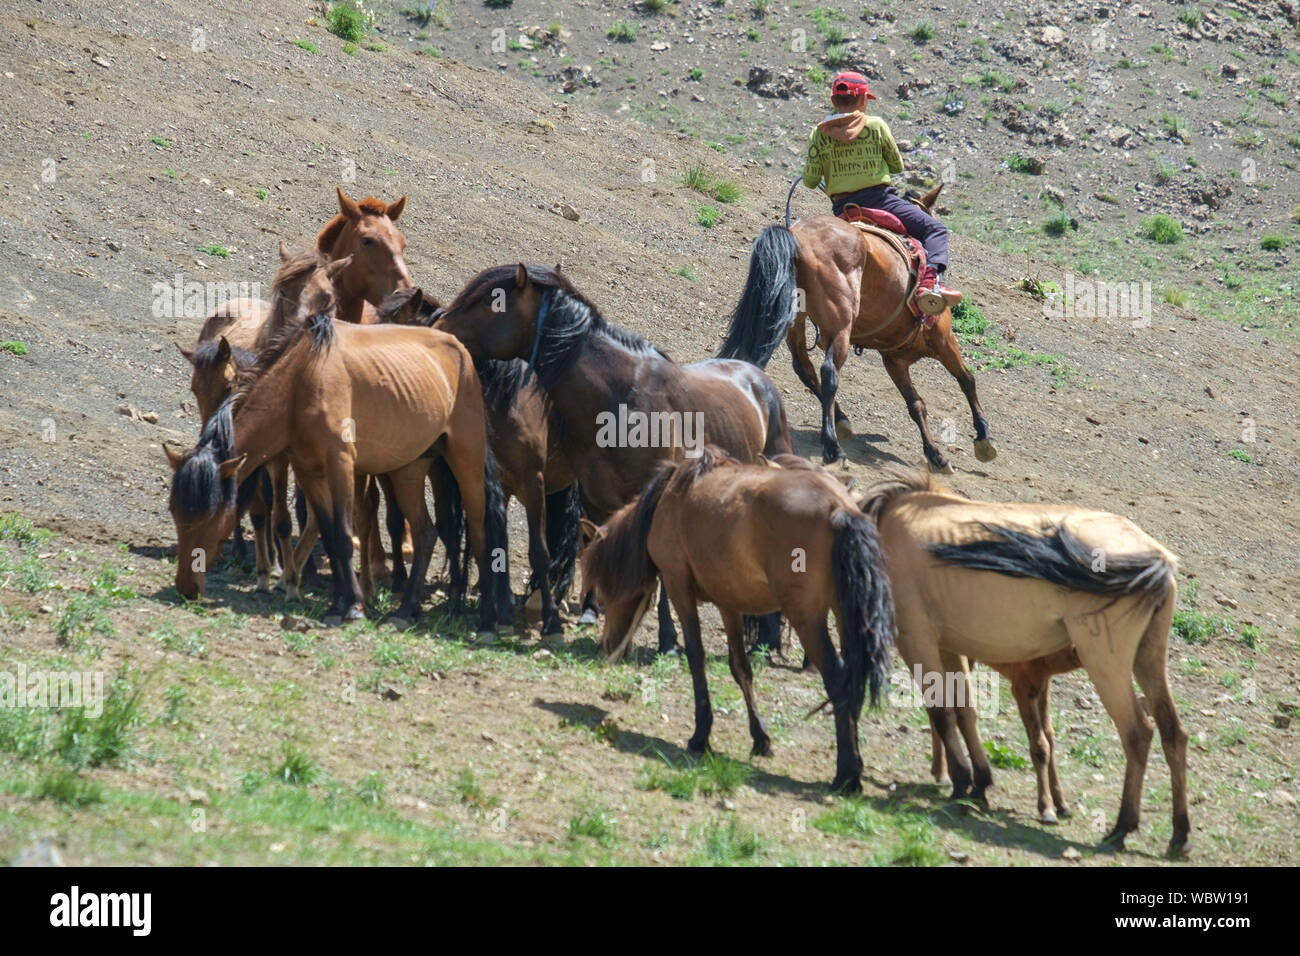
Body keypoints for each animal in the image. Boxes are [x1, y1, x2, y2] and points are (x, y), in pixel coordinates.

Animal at [164, 265, 510, 631]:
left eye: (212, 514)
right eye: (175, 511)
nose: (186, 587)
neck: (301, 381)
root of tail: (461, 351)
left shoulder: (341, 464)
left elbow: (344, 534)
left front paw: (353, 606)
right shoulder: (308, 471)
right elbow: (329, 534)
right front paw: (337, 602)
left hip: (466, 462)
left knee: (479, 532)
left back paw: (487, 621)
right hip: (410, 470)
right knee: (425, 533)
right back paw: (405, 610)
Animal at [432, 263, 793, 655]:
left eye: (489, 302)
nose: (438, 324)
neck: (618, 399)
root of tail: (757, 380)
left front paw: (666, 639)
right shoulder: (587, 495)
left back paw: (765, 640)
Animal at [582, 447, 894, 792]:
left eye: (601, 591)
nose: (607, 646)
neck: (669, 498)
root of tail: (839, 510)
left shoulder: (678, 586)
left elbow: (696, 658)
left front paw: (700, 737)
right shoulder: (728, 603)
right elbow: (740, 667)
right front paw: (760, 737)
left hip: (807, 619)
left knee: (838, 678)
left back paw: (846, 774)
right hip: (843, 616)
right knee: (854, 681)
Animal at [718, 185, 995, 472]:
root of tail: (797, 237)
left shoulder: (894, 360)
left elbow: (916, 404)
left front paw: (935, 454)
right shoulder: (943, 339)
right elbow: (967, 380)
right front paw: (983, 438)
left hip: (796, 322)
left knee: (805, 369)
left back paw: (841, 422)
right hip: (840, 327)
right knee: (829, 372)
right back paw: (833, 447)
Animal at [860, 469, 1189, 857]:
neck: (892, 525)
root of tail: (1157, 558)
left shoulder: (918, 642)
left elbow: (942, 713)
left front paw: (961, 784)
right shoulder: (950, 649)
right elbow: (965, 712)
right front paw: (979, 784)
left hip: (1107, 667)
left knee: (1138, 733)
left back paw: (1122, 827)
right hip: (1148, 661)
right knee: (1173, 734)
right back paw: (1179, 835)